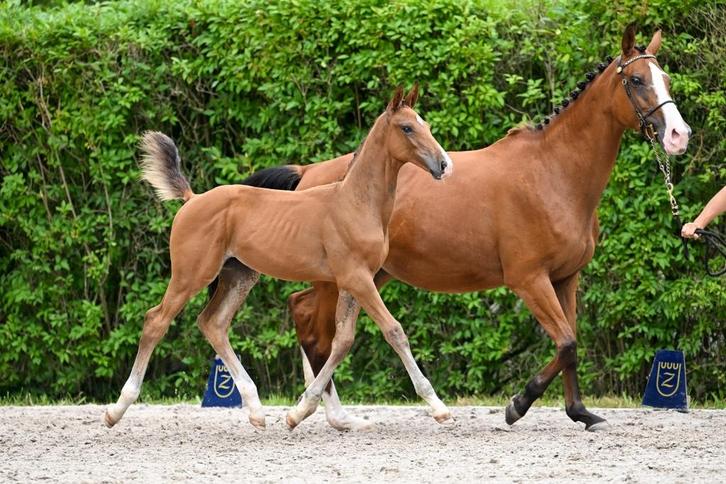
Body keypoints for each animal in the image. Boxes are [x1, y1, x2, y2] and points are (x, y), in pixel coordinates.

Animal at [103, 86, 455, 430]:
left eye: (426, 125)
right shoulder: (357, 278)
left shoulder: (352, 282)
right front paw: (438, 406)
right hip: (191, 274)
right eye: (407, 127)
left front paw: (299, 411)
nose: (444, 165)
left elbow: (342, 341)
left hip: (239, 276)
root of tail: (192, 198)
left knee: (213, 323)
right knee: (156, 321)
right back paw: (116, 410)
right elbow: (394, 331)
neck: (354, 203)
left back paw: (257, 411)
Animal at [227, 25, 691, 432]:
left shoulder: (565, 278)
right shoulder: (529, 280)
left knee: (316, 324)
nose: (678, 134)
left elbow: (571, 345)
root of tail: (310, 172)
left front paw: (580, 413)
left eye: (666, 78)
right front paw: (517, 405)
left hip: (364, 277)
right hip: (341, 279)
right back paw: (320, 413)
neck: (553, 174)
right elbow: (566, 343)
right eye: (636, 79)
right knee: (312, 325)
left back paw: (329, 415)